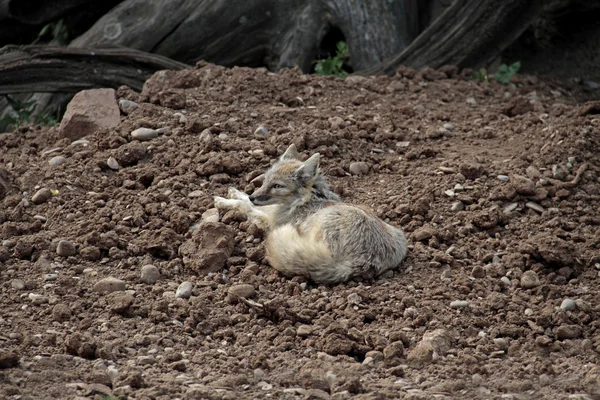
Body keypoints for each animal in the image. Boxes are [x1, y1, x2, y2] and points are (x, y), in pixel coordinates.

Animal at [214, 144, 408, 284]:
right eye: (265, 181)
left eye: (277, 186)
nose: (254, 197)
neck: (306, 199)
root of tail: (363, 262)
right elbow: (246, 201)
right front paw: (234, 193)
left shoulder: (271, 221)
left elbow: (246, 207)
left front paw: (224, 202)